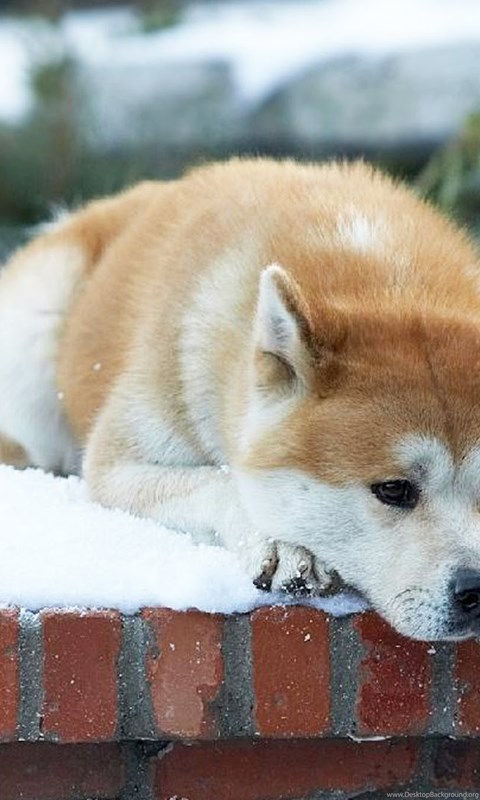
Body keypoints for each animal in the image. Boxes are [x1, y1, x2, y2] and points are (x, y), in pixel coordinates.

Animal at [2, 157, 480, 640]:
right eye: (394, 489)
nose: (475, 588)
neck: (384, 280)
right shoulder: (115, 466)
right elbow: (218, 481)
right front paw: (280, 543)